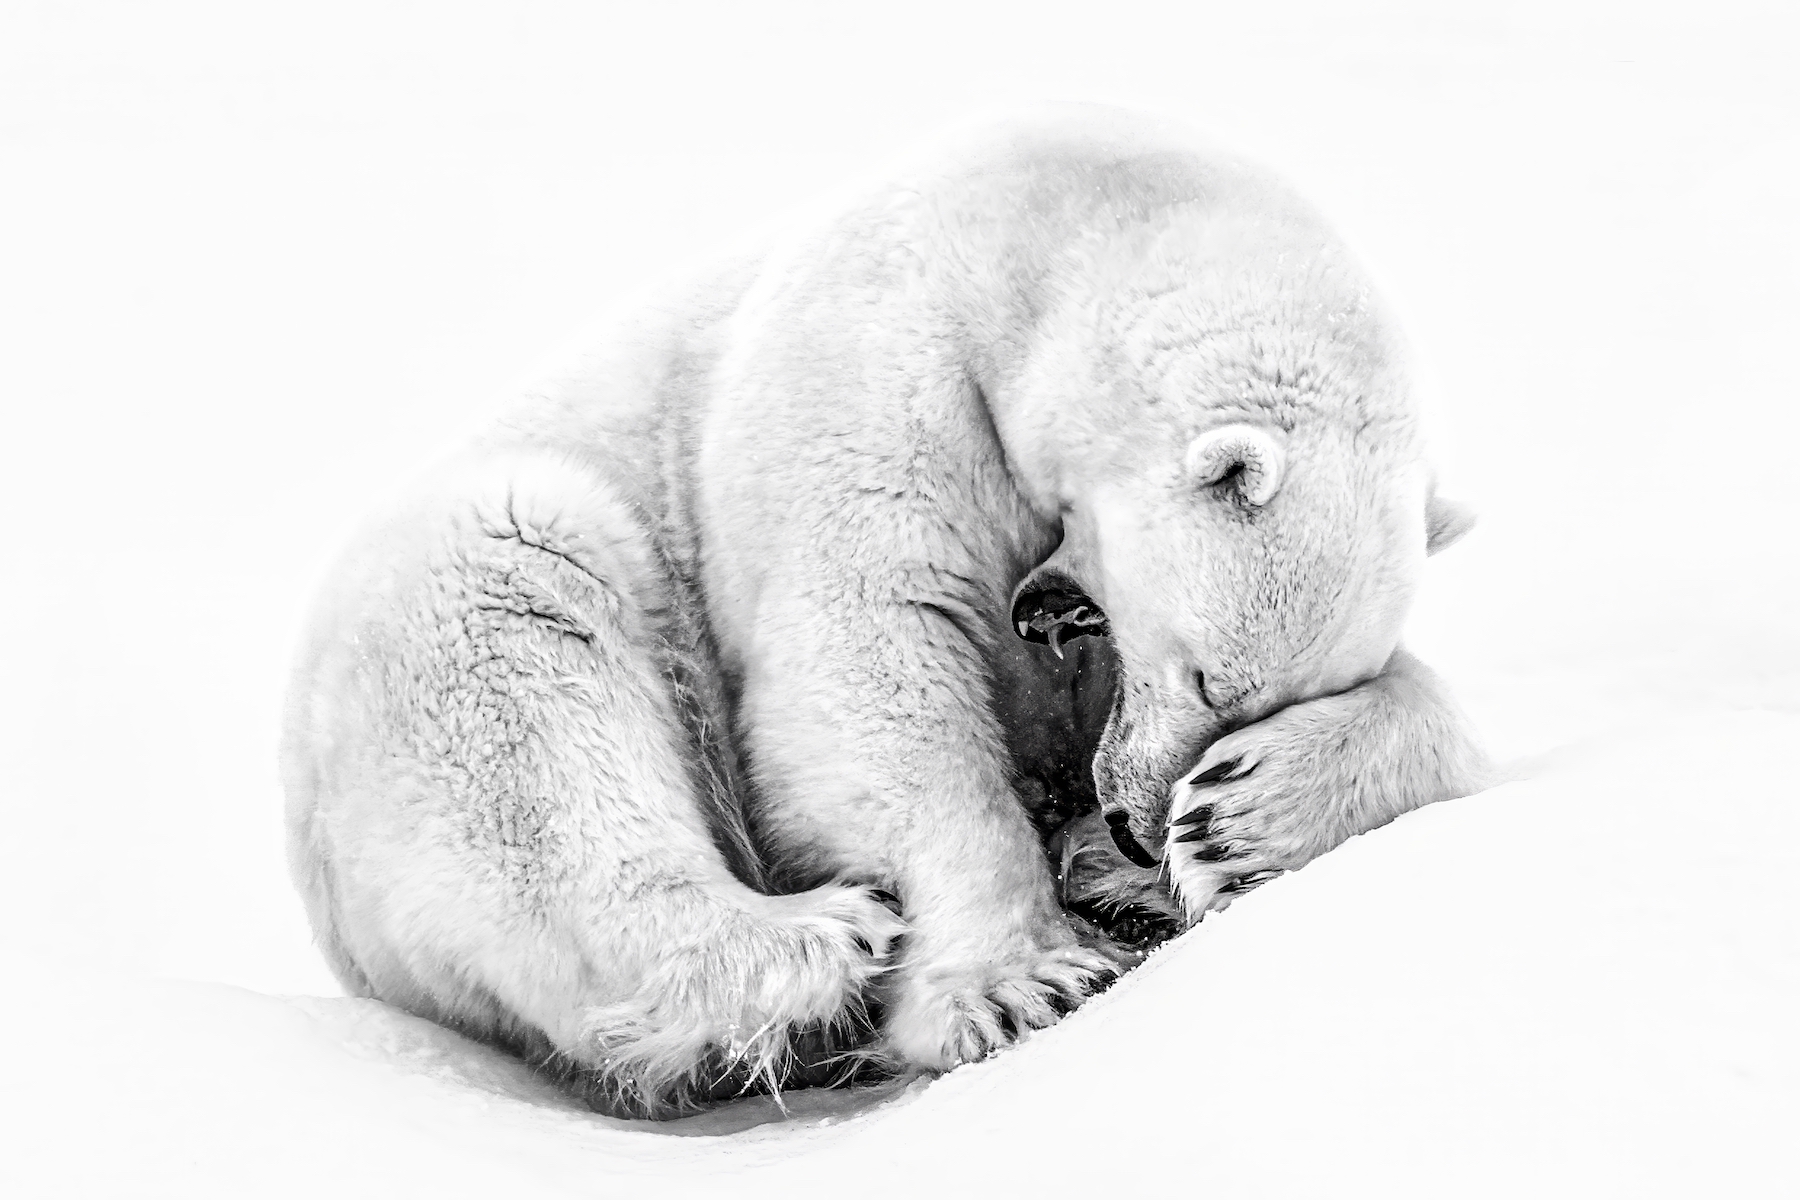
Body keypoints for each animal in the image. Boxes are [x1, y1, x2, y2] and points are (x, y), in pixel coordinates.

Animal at [281, 104, 1488, 1119]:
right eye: (1207, 676)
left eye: (1257, 706)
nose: (1140, 830)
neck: (1042, 230)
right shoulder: (881, 365)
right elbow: (861, 658)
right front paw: (1027, 981)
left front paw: (1235, 820)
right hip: (449, 647)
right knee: (524, 652)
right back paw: (815, 939)